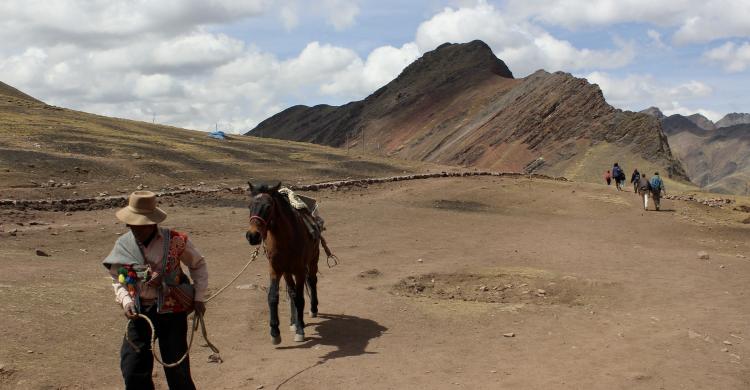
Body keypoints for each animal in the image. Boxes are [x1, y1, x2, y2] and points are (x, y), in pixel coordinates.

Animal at [245, 183, 318, 344]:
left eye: (268, 206)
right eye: (249, 206)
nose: (252, 236)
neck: (286, 240)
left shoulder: (299, 270)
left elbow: (300, 298)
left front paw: (300, 331)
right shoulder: (275, 270)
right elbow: (273, 297)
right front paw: (275, 332)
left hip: (313, 261)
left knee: (312, 281)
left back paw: (312, 310)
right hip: (287, 272)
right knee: (291, 292)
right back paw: (293, 321)